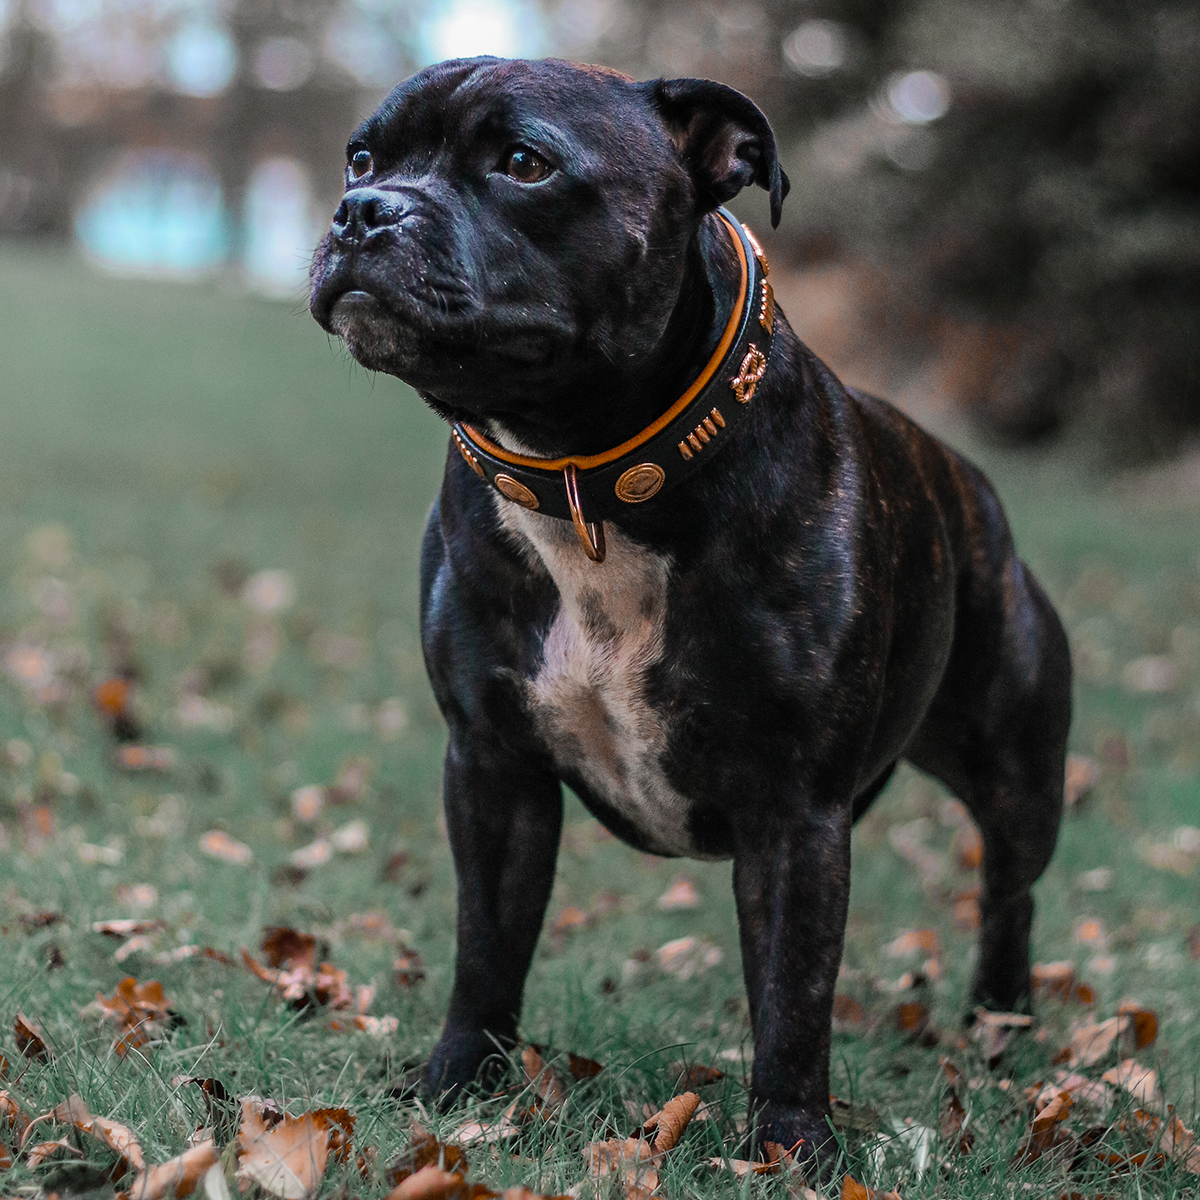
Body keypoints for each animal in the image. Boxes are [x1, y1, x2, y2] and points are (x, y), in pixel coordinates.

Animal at [307, 58, 1070, 1171]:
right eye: (363, 157)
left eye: (524, 164)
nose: (364, 209)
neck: (587, 475)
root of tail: (970, 481)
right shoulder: (493, 768)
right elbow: (487, 944)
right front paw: (458, 1082)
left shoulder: (794, 812)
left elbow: (793, 997)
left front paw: (792, 1150)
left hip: (1014, 771)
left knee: (1009, 891)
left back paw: (1000, 1025)